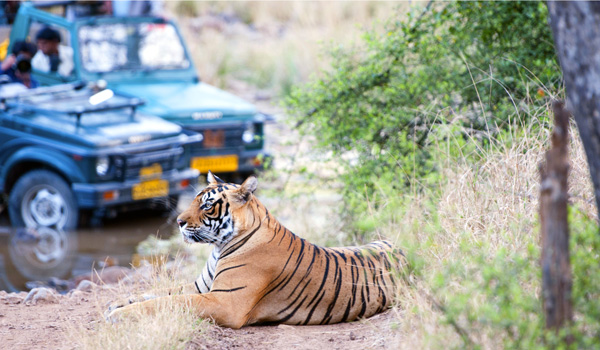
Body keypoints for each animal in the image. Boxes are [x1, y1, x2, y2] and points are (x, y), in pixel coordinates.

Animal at [108, 172, 408, 328]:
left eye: (207, 205)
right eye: (194, 200)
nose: (179, 222)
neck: (218, 247)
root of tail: (401, 247)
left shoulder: (224, 302)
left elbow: (169, 301)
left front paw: (118, 315)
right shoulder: (201, 287)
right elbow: (157, 293)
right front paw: (117, 303)